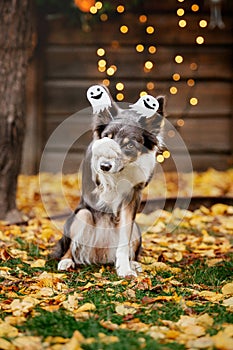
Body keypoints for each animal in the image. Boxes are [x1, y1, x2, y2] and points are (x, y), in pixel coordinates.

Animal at [53, 83, 165, 278]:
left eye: (130, 145)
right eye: (107, 139)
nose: (105, 166)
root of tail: (100, 254)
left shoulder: (132, 198)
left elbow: (124, 241)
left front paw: (125, 269)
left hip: (136, 228)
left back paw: (132, 263)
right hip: (82, 215)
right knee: (71, 247)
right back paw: (66, 261)